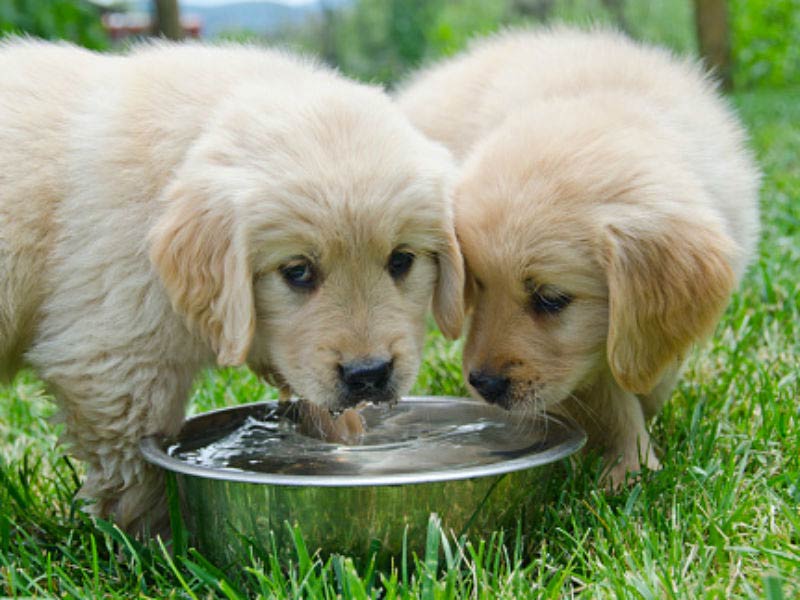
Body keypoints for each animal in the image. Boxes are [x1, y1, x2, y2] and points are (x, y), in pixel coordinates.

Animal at [0, 39, 462, 532]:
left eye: (401, 260)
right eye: (297, 271)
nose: (368, 375)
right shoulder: (113, 360)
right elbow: (137, 468)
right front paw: (160, 536)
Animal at [396, 29, 760, 488]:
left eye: (551, 299)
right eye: (476, 285)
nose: (483, 384)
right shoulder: (588, 367)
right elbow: (610, 399)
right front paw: (630, 468)